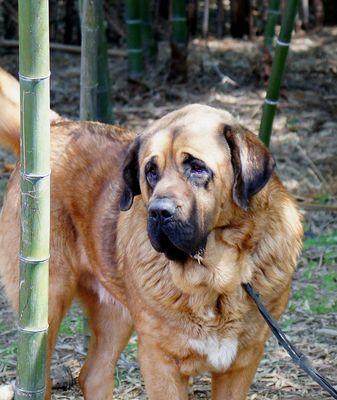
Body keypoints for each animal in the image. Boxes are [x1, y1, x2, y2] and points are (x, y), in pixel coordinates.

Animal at [0, 69, 300, 400]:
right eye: (150, 172)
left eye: (197, 167)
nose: (159, 211)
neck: (215, 281)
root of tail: (55, 125)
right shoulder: (160, 359)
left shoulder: (241, 363)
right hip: (46, 305)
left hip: (115, 313)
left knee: (93, 375)